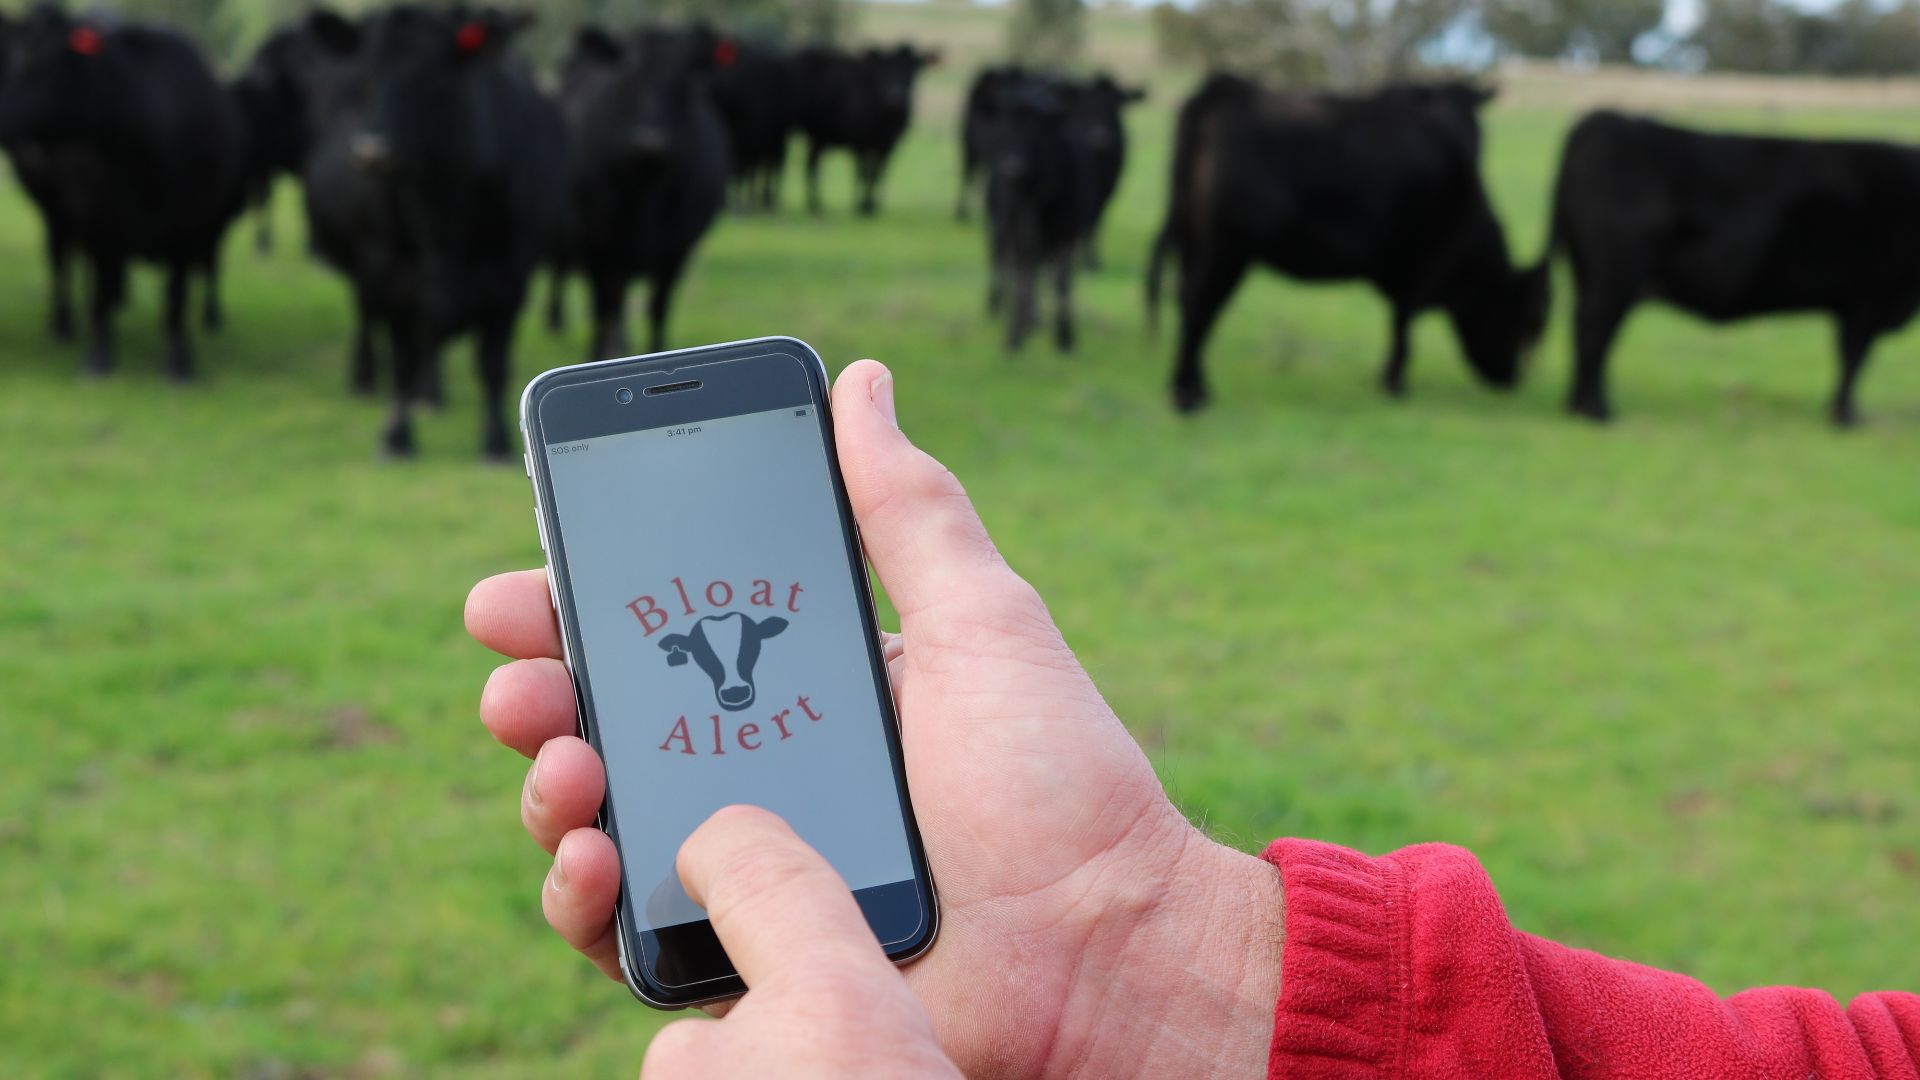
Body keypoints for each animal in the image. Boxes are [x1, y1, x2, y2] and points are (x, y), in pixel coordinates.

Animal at [0, 6, 245, 376]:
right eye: (12, 58)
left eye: (43, 65)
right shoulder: (100, 220)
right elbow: (100, 289)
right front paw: (99, 357)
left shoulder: (190, 225)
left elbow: (177, 293)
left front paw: (180, 360)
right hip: (56, 212)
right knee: (61, 261)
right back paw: (64, 323)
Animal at [556, 24, 733, 361]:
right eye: (629, 78)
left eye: (684, 82)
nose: (651, 139)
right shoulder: (596, 243)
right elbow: (602, 306)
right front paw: (595, 354)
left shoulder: (678, 248)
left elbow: (658, 306)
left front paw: (658, 348)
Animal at [794, 42, 936, 215]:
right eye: (884, 68)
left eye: (914, 67)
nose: (894, 97)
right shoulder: (859, 142)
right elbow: (863, 172)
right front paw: (861, 206)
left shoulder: (889, 144)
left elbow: (878, 173)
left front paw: (871, 206)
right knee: (812, 165)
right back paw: (816, 205)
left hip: (819, 137)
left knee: (811, 163)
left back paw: (815, 205)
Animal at [1144, 74, 1551, 411]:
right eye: (1525, 320)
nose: (1512, 379)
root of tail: (1225, 88)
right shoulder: (1421, 267)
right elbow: (1403, 326)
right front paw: (1394, 383)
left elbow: (1399, 322)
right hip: (1226, 250)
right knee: (1199, 307)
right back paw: (1188, 395)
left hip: (1194, 242)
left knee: (1188, 304)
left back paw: (1194, 387)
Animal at [1543, 110, 1920, 424]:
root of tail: (1605, 118)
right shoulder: (1868, 299)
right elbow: (1854, 359)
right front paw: (1845, 416)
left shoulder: (1858, 304)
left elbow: (1850, 359)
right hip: (1614, 280)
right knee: (1594, 334)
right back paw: (1597, 411)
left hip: (1596, 278)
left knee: (1589, 334)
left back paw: (1576, 405)